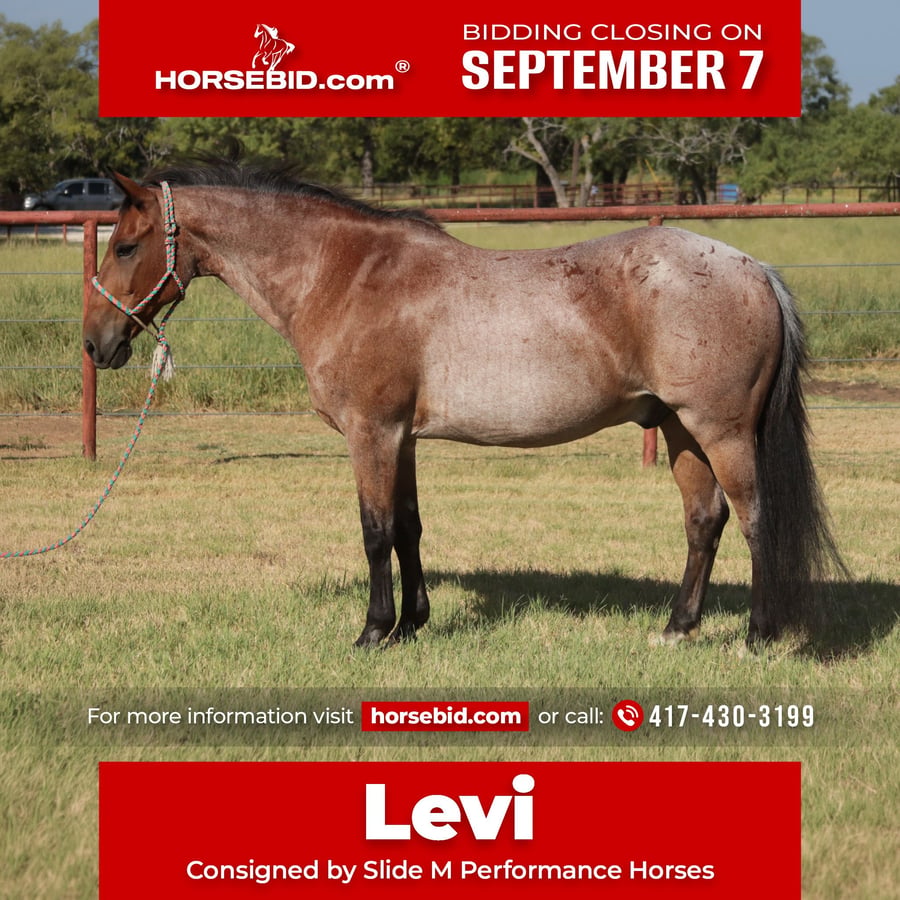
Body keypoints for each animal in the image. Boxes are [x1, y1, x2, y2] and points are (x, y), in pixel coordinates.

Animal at [82, 161, 844, 649]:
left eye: (126, 246)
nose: (96, 344)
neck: (344, 274)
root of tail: (753, 269)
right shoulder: (402, 438)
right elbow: (410, 527)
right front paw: (414, 622)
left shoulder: (371, 433)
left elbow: (375, 532)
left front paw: (373, 631)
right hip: (681, 430)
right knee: (703, 521)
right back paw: (677, 629)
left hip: (721, 431)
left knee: (756, 519)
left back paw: (757, 635)